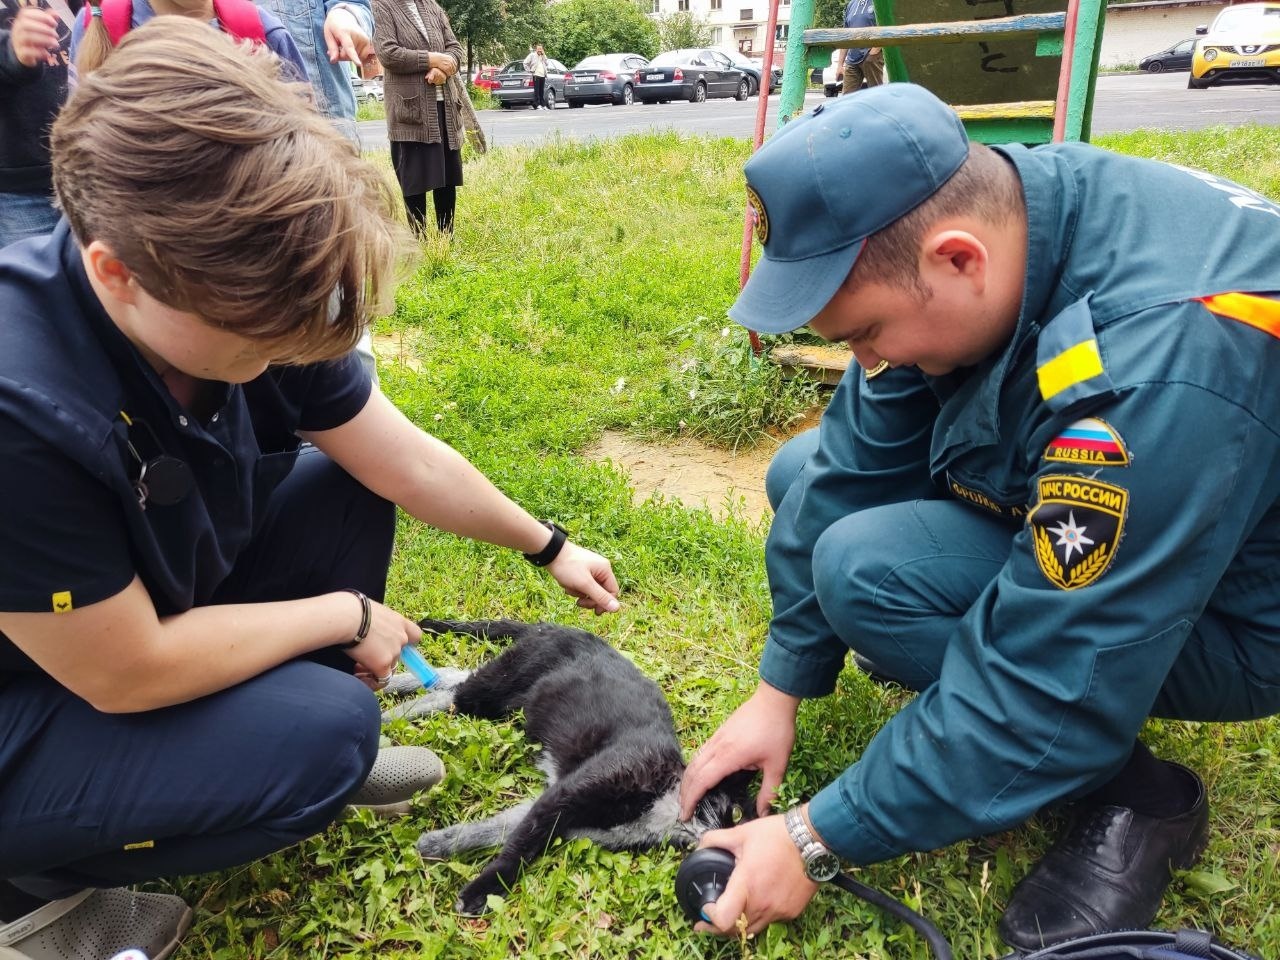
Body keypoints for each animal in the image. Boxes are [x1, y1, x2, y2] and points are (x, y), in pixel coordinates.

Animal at [384, 619, 752, 921]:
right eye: (734, 813)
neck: (666, 804)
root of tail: (551, 627)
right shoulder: (570, 793)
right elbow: (520, 848)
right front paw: (482, 890)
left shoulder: (562, 815)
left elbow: (499, 830)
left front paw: (435, 843)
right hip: (500, 686)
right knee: (451, 694)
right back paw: (395, 711)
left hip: (506, 689)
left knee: (450, 676)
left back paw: (393, 687)